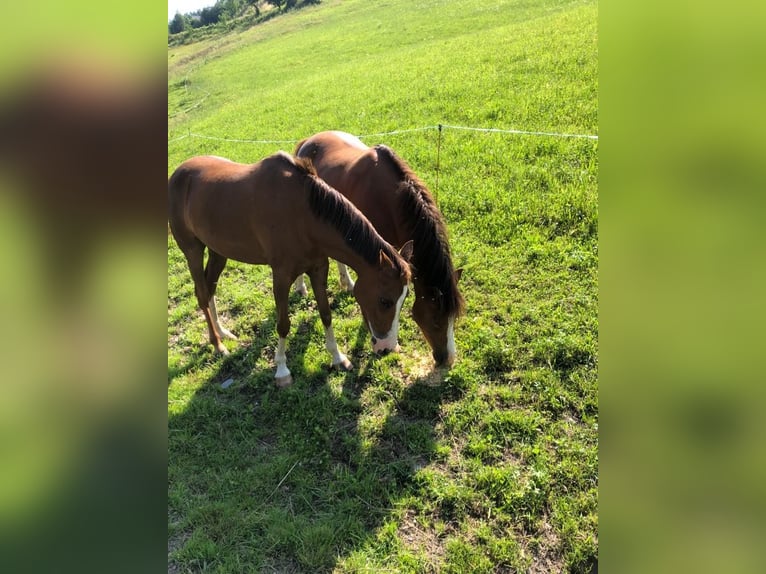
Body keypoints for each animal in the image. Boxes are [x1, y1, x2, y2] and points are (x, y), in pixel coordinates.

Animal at [169, 151, 414, 390]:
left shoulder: (318, 268)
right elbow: (283, 324)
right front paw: (282, 371)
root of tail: (178, 173)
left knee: (210, 288)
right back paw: (218, 345)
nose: (387, 347)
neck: (303, 216)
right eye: (385, 301)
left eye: (404, 298)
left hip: (218, 251)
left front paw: (338, 358)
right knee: (202, 294)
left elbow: (326, 314)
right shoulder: (281, 276)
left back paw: (223, 332)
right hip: (192, 250)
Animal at [294, 132, 462, 368]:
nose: (448, 359)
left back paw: (346, 282)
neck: (390, 200)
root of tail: (308, 141)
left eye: (454, 318)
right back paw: (301, 287)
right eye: (436, 320)